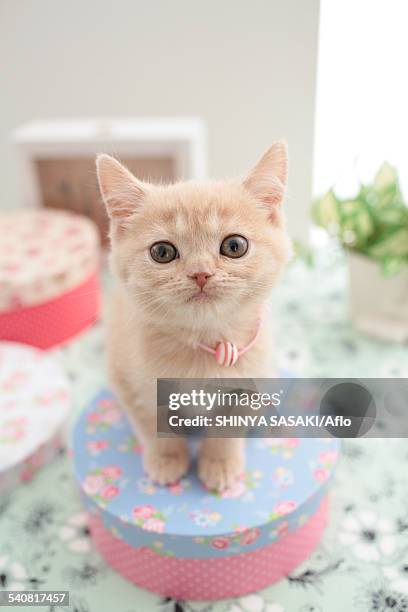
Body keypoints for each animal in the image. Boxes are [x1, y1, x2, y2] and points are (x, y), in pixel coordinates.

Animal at [96, 142, 294, 492]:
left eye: (234, 246)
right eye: (162, 252)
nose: (201, 273)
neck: (204, 343)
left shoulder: (247, 382)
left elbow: (227, 427)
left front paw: (220, 463)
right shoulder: (126, 379)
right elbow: (152, 422)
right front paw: (166, 459)